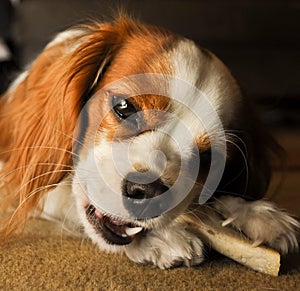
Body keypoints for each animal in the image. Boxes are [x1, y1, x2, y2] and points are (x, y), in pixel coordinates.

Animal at [0, 17, 298, 270]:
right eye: (124, 107)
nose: (148, 193)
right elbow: (56, 195)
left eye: (208, 158)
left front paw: (251, 212)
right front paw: (161, 238)